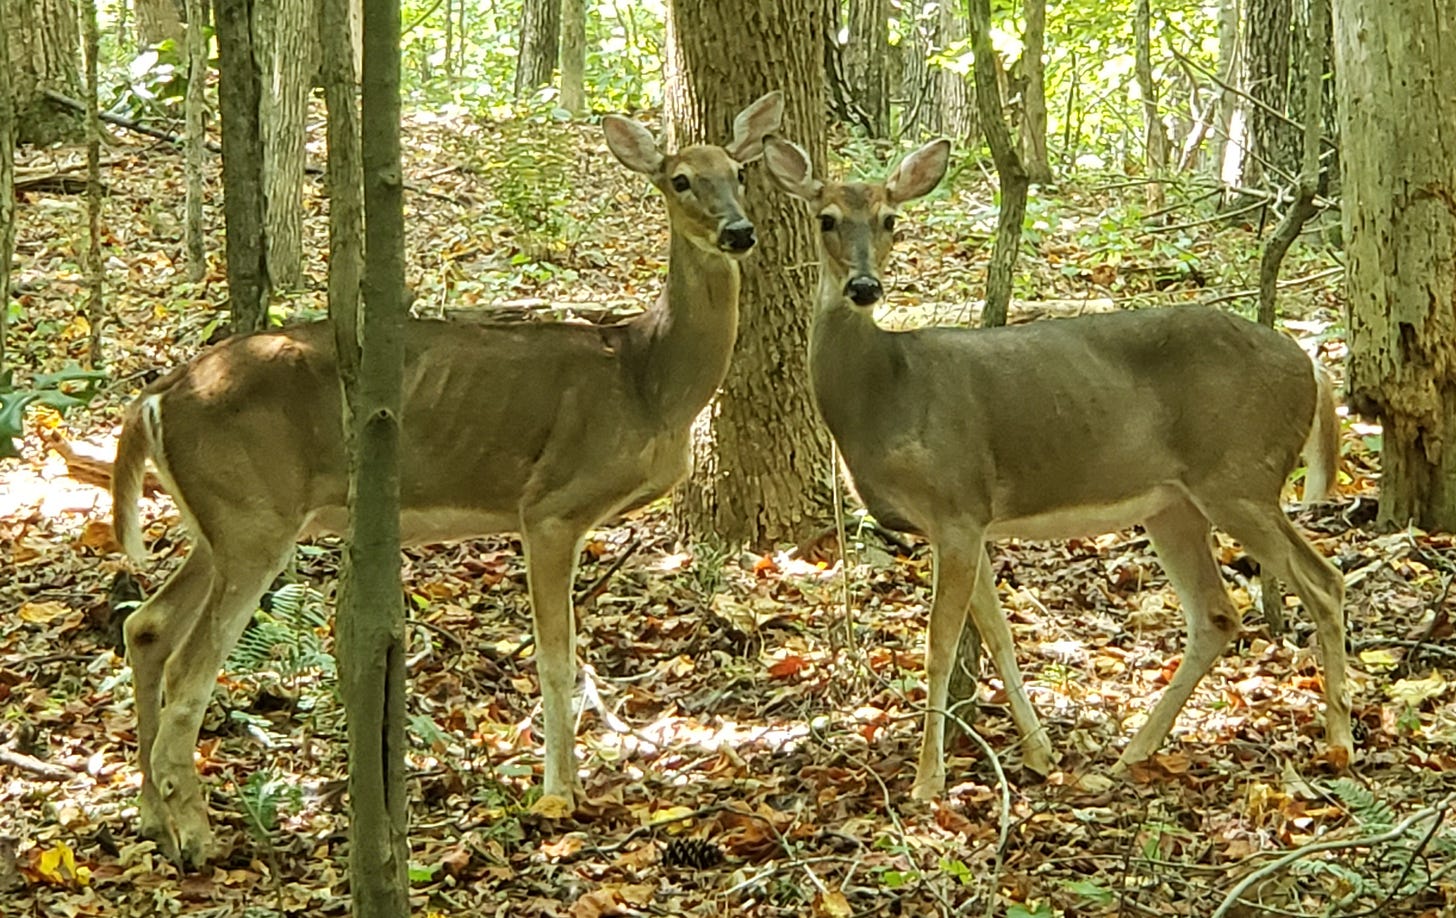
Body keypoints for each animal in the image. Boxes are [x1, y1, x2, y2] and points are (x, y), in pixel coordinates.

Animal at [109, 91, 784, 868]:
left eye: (738, 171)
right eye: (680, 179)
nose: (739, 231)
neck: (646, 381)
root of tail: (156, 396)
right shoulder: (549, 506)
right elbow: (557, 659)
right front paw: (560, 794)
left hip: (225, 519)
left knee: (147, 625)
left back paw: (151, 819)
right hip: (253, 516)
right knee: (190, 665)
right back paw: (197, 836)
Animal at [761, 135, 1353, 800]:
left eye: (890, 219)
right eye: (826, 219)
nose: (864, 287)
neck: (889, 394)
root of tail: (1311, 366)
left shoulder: (955, 502)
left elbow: (940, 646)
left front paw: (927, 782)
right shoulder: (969, 520)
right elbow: (999, 638)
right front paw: (1040, 753)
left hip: (1239, 476)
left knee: (1324, 583)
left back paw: (1339, 740)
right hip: (1175, 502)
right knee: (1218, 614)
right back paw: (1133, 753)